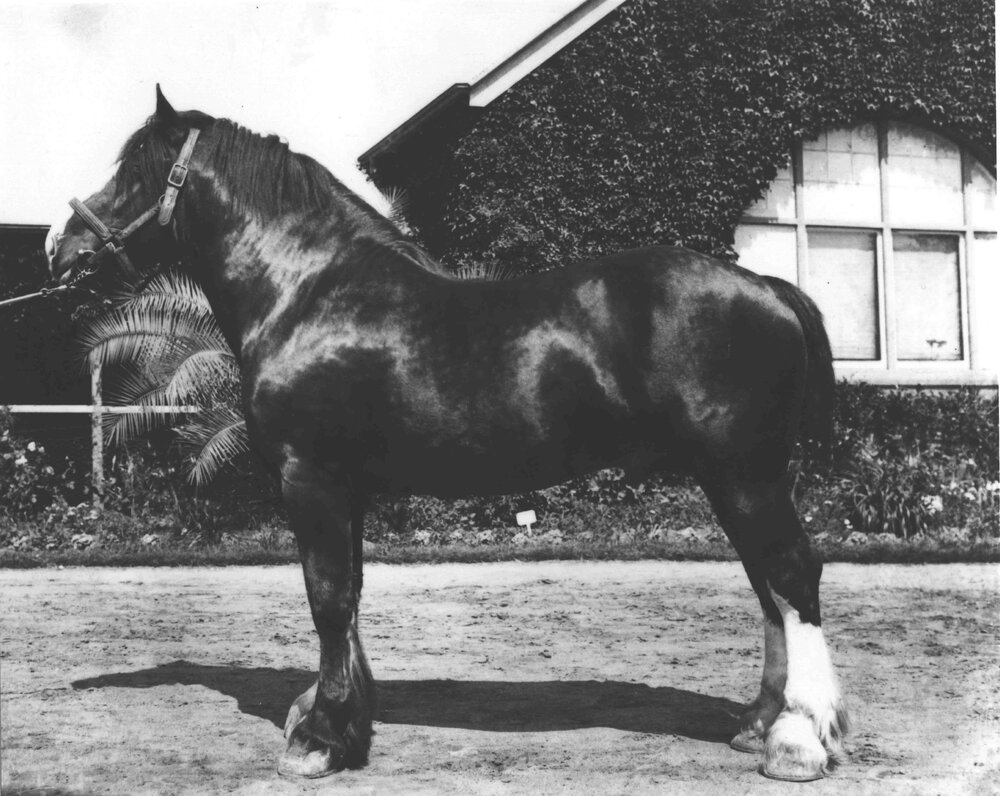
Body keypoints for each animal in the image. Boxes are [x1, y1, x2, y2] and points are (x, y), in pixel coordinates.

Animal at [47, 87, 848, 782]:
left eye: (136, 169)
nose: (62, 248)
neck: (310, 292)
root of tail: (767, 287)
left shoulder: (311, 478)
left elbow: (327, 598)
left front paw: (318, 739)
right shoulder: (345, 488)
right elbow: (350, 596)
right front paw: (348, 723)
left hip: (745, 472)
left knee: (791, 574)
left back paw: (798, 741)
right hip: (729, 477)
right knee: (768, 585)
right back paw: (759, 721)